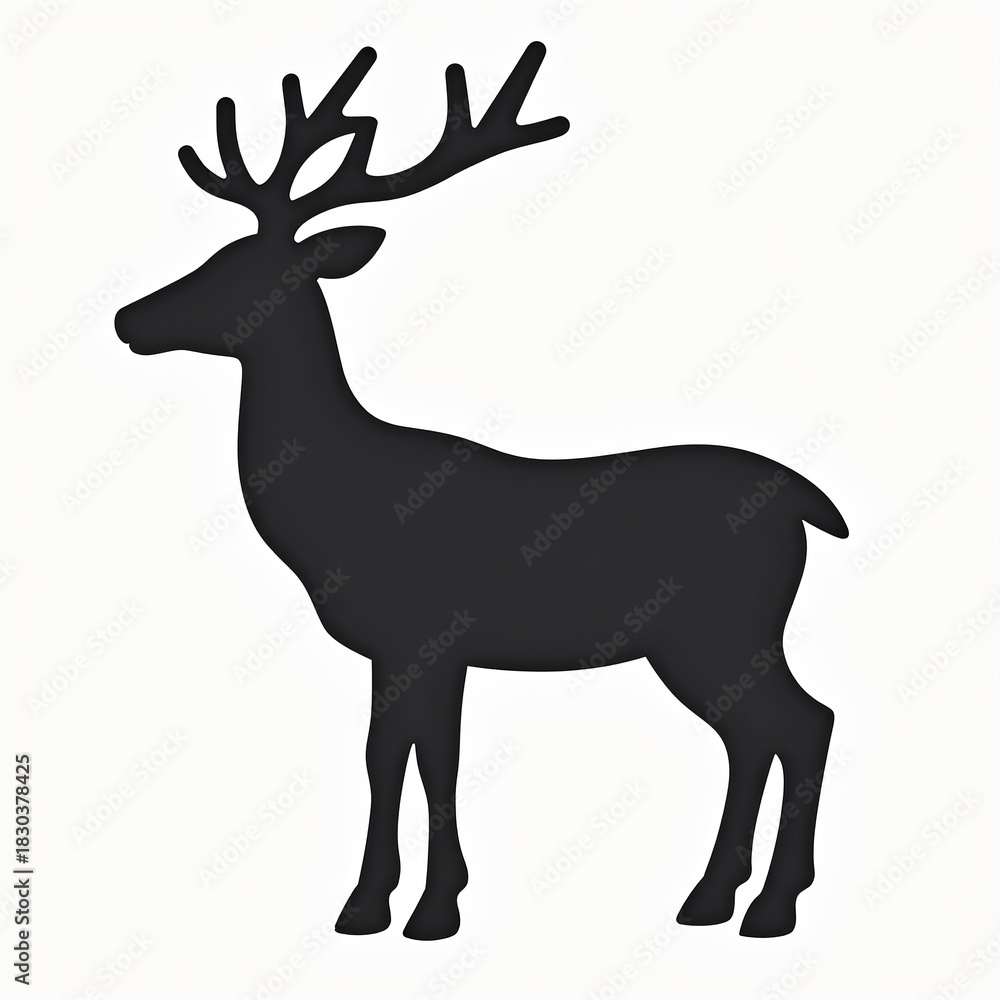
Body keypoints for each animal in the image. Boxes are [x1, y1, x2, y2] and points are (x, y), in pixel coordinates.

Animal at [115, 41, 848, 941]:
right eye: (211, 253)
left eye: (235, 269)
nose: (128, 319)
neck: (339, 503)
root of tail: (808, 504)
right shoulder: (406, 649)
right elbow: (398, 755)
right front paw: (395, 901)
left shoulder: (425, 631)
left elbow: (423, 758)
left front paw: (414, 908)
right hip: (715, 639)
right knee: (759, 735)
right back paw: (713, 899)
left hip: (722, 625)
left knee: (803, 722)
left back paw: (770, 907)